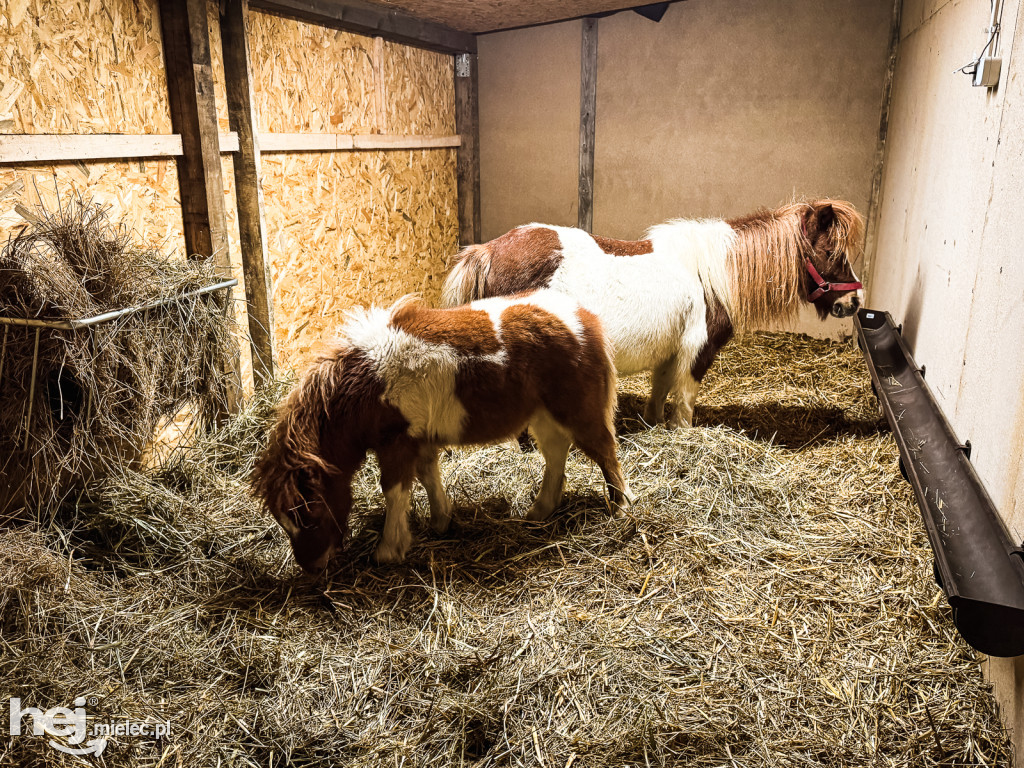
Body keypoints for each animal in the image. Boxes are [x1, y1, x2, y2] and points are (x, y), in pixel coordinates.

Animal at [250, 290, 626, 573]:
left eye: (309, 513)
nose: (313, 568)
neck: (366, 383)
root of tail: (585, 319)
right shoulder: (420, 440)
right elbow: (429, 476)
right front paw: (440, 521)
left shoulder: (397, 443)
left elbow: (395, 490)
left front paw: (389, 549)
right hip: (544, 417)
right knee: (556, 454)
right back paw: (539, 512)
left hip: (579, 413)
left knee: (606, 453)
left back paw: (620, 509)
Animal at [444, 201, 868, 430]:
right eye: (832, 253)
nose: (855, 301)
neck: (711, 275)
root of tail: (486, 251)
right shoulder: (698, 353)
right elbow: (685, 401)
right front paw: (681, 432)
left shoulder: (670, 350)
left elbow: (660, 389)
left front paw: (653, 423)